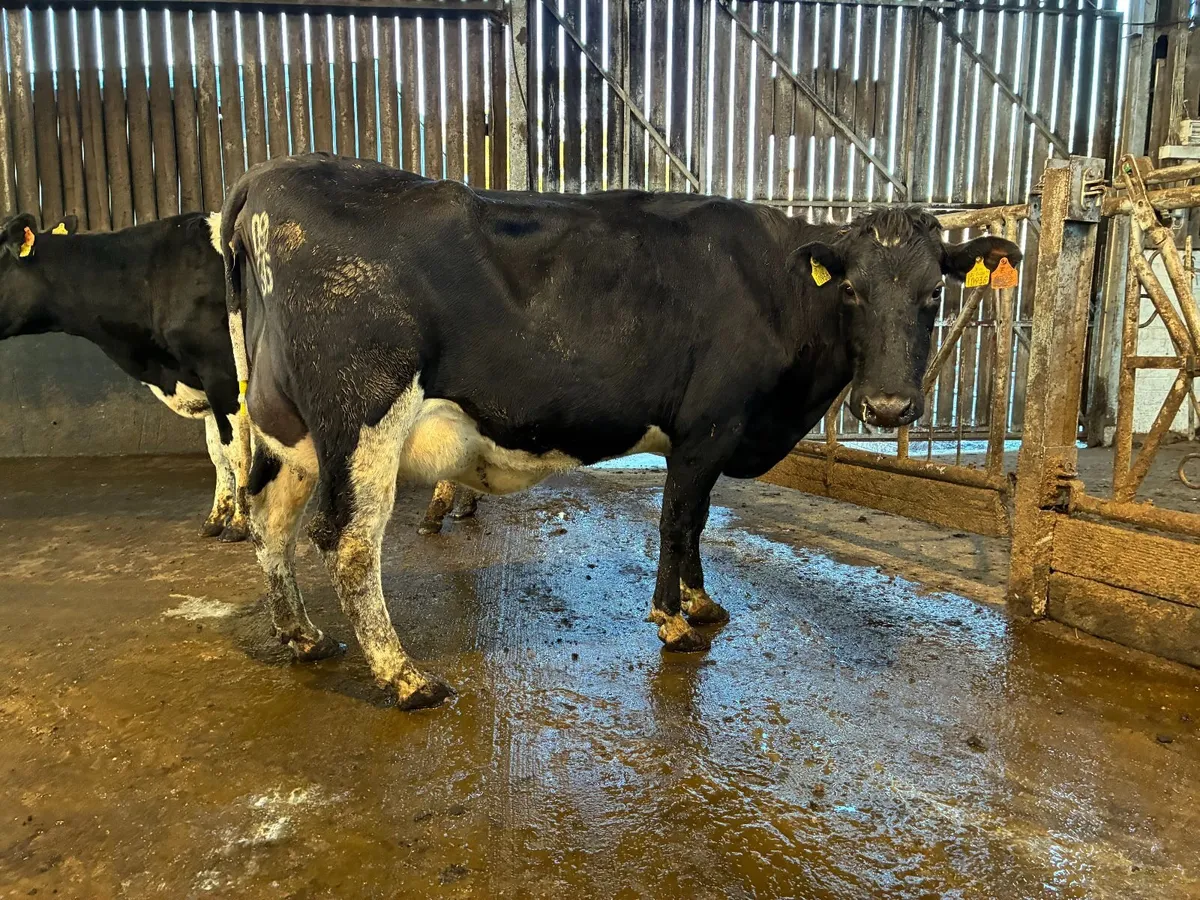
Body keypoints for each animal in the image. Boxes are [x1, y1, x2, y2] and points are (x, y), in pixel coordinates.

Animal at [0, 211, 475, 540]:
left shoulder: (223, 377)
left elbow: (236, 452)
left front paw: (241, 523)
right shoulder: (202, 383)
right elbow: (216, 453)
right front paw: (217, 515)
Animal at [221, 153, 1021, 711]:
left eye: (934, 293)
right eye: (851, 290)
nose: (888, 407)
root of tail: (270, 174)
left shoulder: (710, 438)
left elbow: (698, 521)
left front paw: (702, 601)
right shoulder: (709, 424)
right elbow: (678, 519)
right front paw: (673, 620)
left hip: (287, 431)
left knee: (269, 516)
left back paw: (300, 635)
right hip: (364, 415)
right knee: (348, 541)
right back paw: (405, 677)